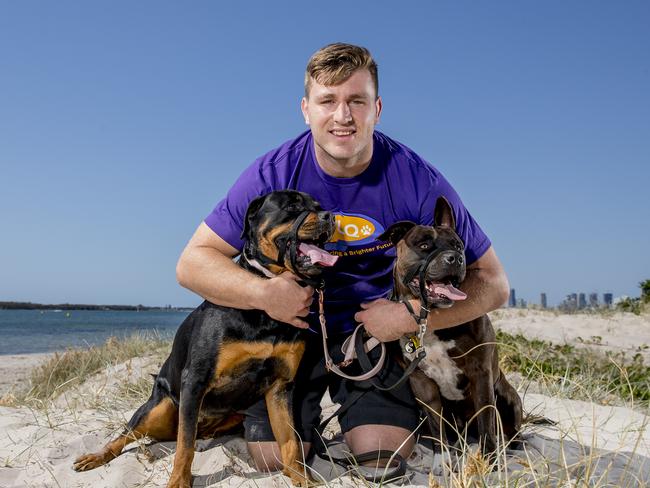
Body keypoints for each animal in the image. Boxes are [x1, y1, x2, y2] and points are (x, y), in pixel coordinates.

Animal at [72, 191, 334, 488]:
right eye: (292, 206)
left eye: (318, 206)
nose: (330, 217)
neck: (266, 308)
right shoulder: (195, 380)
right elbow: (183, 447)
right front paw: (178, 482)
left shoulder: (281, 386)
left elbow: (290, 440)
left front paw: (301, 477)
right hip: (158, 408)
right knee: (129, 433)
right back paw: (97, 456)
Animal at [378, 197, 520, 454]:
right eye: (424, 245)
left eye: (458, 245)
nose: (455, 258)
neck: (428, 320)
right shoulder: (422, 383)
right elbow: (437, 427)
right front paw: (442, 456)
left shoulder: (481, 374)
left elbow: (486, 423)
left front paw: (489, 459)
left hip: (507, 396)